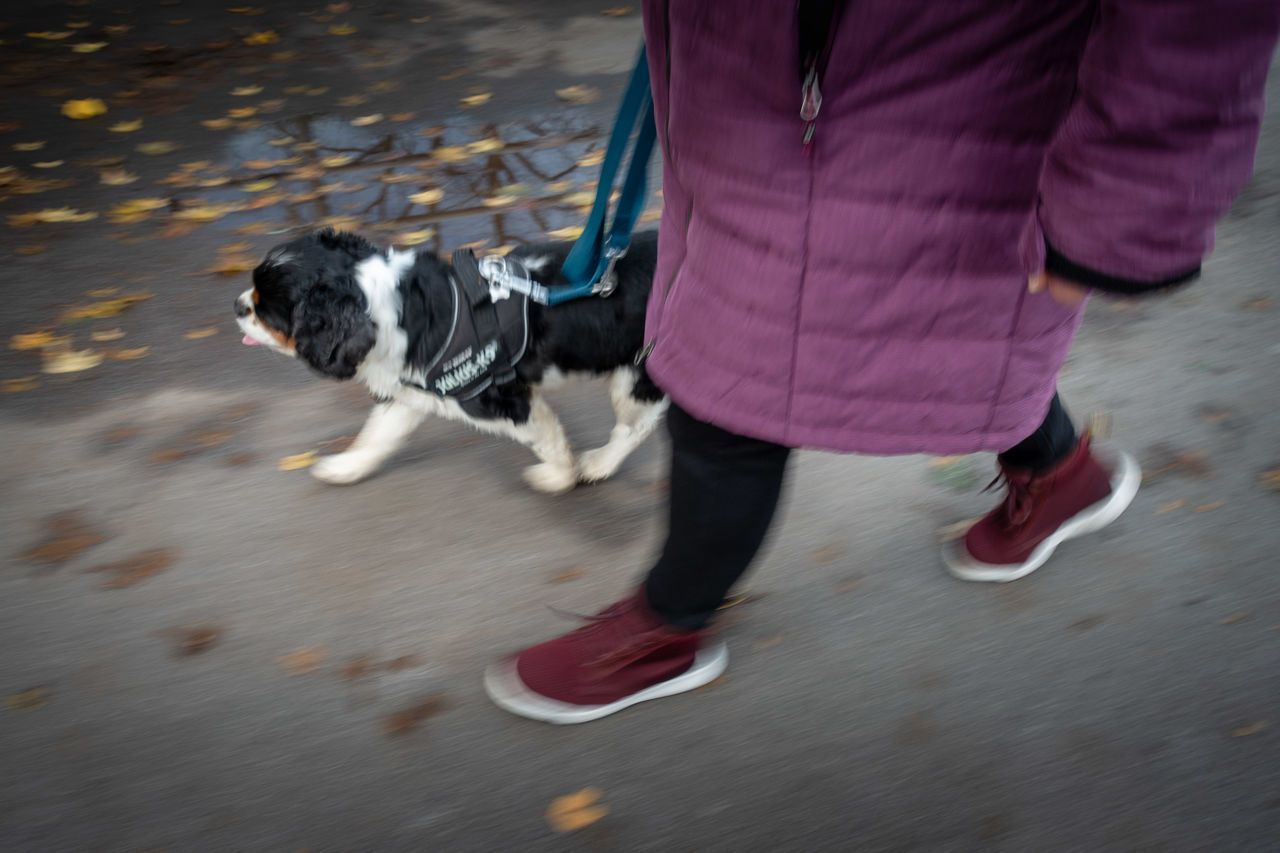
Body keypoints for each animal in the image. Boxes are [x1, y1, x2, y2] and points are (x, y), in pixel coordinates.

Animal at [236, 227, 670, 491]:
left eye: (266, 309)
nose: (238, 306)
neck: (387, 303)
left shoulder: (501, 400)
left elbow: (548, 440)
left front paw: (559, 478)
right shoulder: (415, 388)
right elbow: (377, 434)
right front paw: (347, 467)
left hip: (636, 372)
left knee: (636, 425)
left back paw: (599, 464)